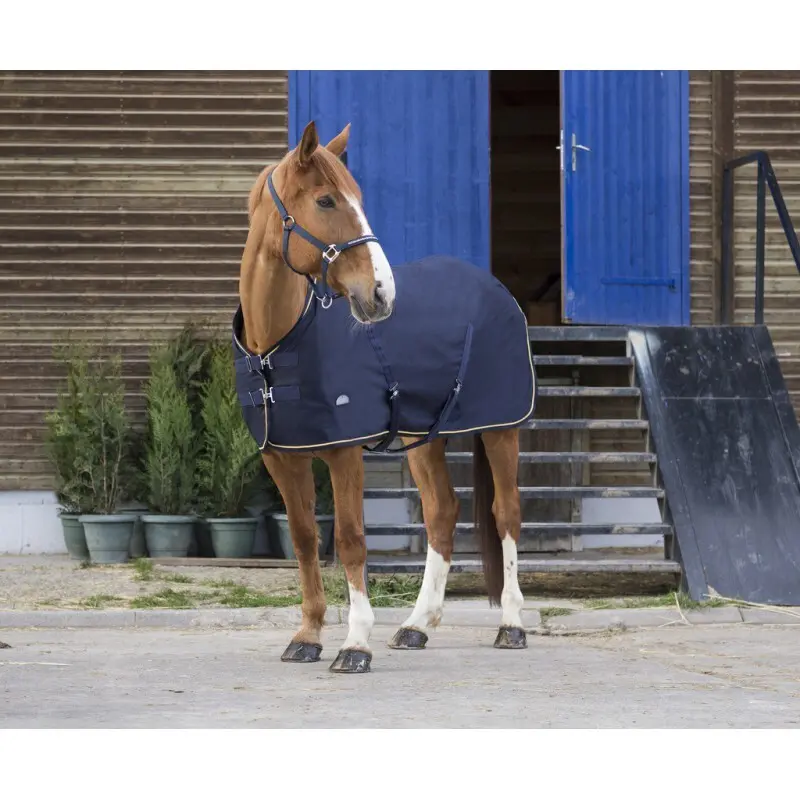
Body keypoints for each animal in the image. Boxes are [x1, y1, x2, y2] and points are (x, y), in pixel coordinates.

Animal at [235, 120, 535, 674]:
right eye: (326, 200)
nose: (380, 294)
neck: (278, 343)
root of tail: (495, 288)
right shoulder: (281, 458)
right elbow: (305, 539)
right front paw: (307, 636)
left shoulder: (343, 452)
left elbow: (351, 540)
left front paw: (355, 644)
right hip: (425, 435)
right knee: (442, 513)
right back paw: (417, 626)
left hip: (500, 429)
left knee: (507, 513)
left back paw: (511, 625)